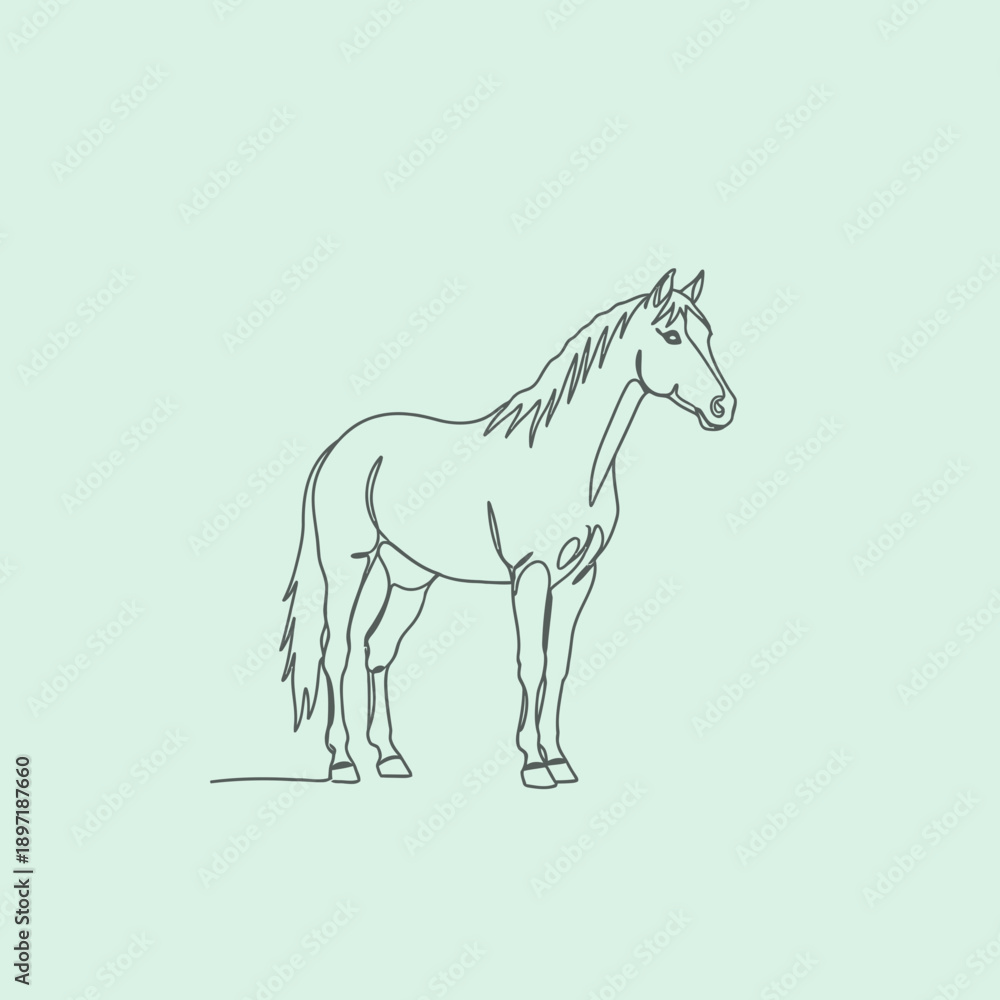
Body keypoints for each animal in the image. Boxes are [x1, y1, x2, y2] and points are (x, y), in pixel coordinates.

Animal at [279, 266, 736, 789]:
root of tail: (338, 447)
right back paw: (343, 762)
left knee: (378, 649)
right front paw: (534, 764)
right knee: (336, 650)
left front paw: (559, 760)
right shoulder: (531, 574)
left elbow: (558, 665)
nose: (723, 407)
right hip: (348, 565)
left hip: (409, 577)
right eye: (672, 335)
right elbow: (531, 663)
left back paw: (390, 758)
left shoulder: (579, 578)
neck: (567, 456)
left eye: (708, 335)